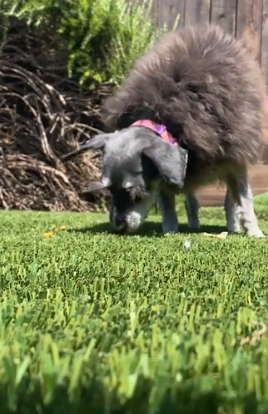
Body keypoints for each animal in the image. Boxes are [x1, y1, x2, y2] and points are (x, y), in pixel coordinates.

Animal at [62, 25, 266, 236]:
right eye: (110, 190)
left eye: (136, 194)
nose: (118, 227)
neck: (165, 120)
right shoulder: (165, 173)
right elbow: (168, 201)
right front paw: (170, 230)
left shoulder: (235, 159)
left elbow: (244, 200)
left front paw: (253, 231)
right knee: (191, 198)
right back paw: (194, 223)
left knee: (229, 200)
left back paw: (233, 226)